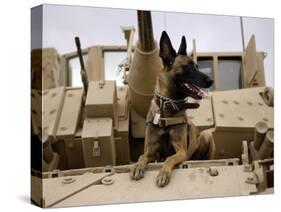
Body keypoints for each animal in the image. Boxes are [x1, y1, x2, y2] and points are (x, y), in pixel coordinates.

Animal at [131, 31, 214, 187]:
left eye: (197, 66)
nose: (211, 80)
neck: (167, 107)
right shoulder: (150, 150)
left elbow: (170, 158)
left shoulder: (181, 151)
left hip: (206, 135)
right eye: (188, 67)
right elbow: (141, 156)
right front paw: (138, 167)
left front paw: (163, 173)